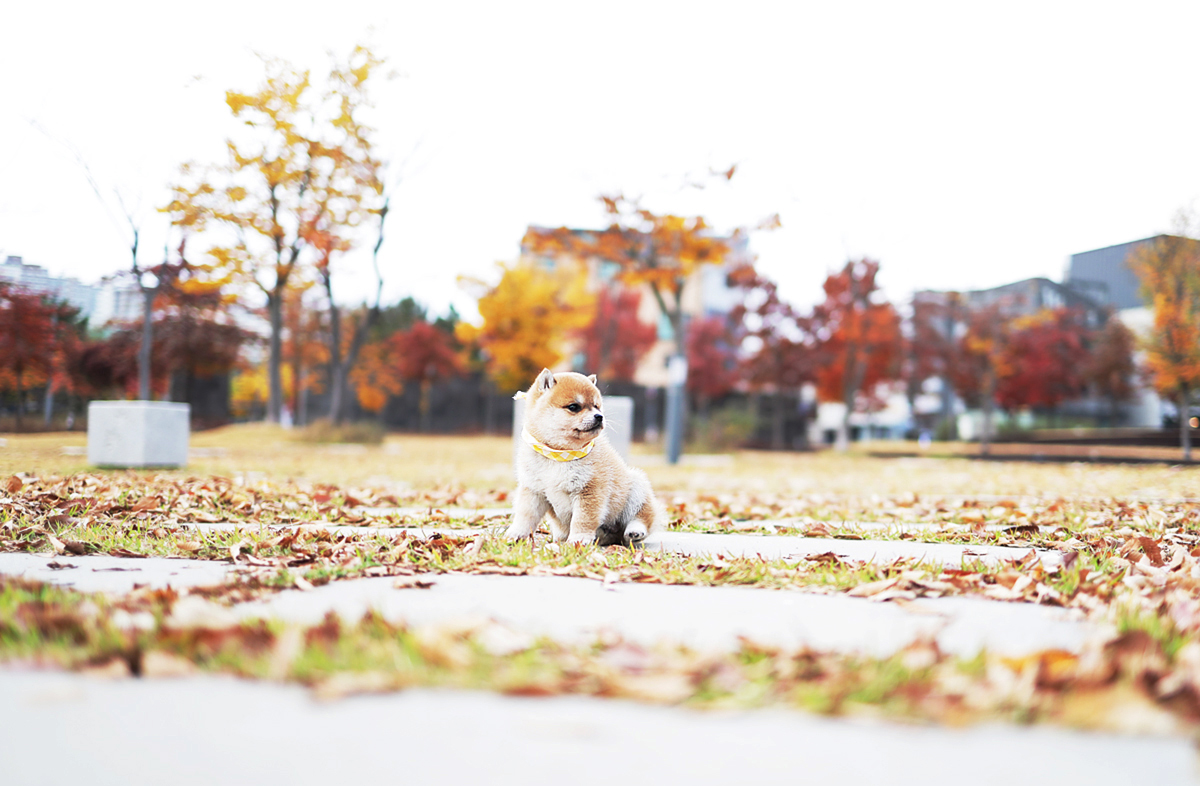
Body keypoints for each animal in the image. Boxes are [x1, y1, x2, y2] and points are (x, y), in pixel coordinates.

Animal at [501, 369, 662, 547]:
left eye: (597, 406)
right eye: (574, 407)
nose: (599, 416)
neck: (558, 454)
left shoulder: (589, 490)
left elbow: (583, 520)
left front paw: (579, 539)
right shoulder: (533, 490)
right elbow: (525, 517)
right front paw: (515, 534)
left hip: (636, 486)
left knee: (643, 517)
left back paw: (635, 531)